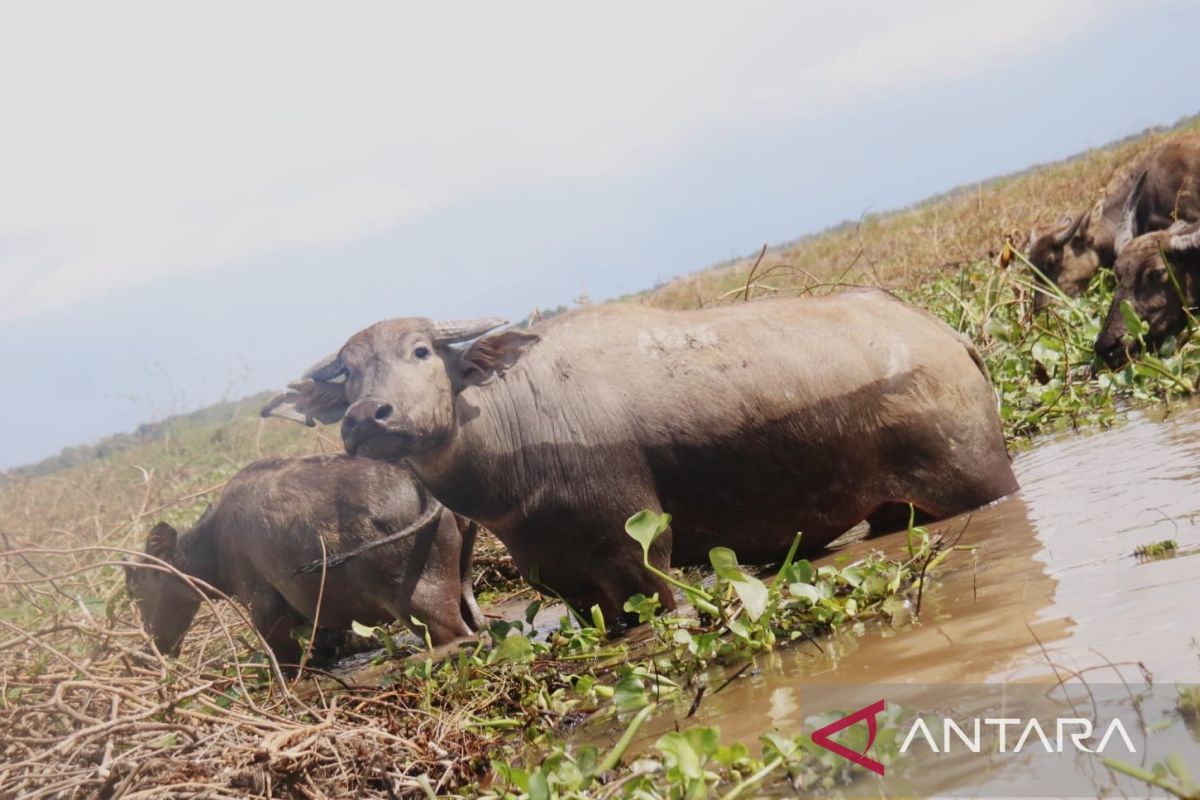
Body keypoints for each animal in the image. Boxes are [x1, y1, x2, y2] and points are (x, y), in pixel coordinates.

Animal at [121, 455, 477, 662]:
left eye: (135, 586)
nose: (147, 651)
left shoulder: (263, 606)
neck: (215, 542)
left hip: (426, 607)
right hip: (463, 585)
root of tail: (419, 482)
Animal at [267, 293, 1017, 623]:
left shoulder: (641, 558)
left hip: (980, 482)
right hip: (893, 509)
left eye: (421, 351)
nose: (367, 417)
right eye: (348, 377)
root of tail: (947, 336)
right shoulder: (566, 582)